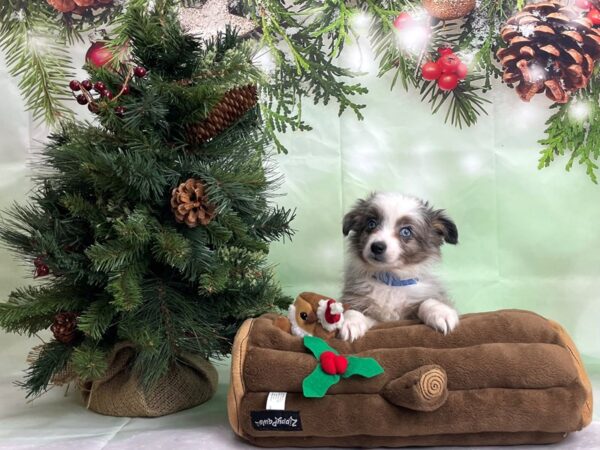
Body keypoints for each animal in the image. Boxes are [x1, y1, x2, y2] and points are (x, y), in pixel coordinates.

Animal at [338, 192, 460, 342]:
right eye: (371, 223)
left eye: (406, 232)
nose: (377, 247)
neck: (390, 280)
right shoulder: (372, 314)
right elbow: (353, 310)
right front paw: (351, 322)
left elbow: (427, 301)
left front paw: (442, 313)